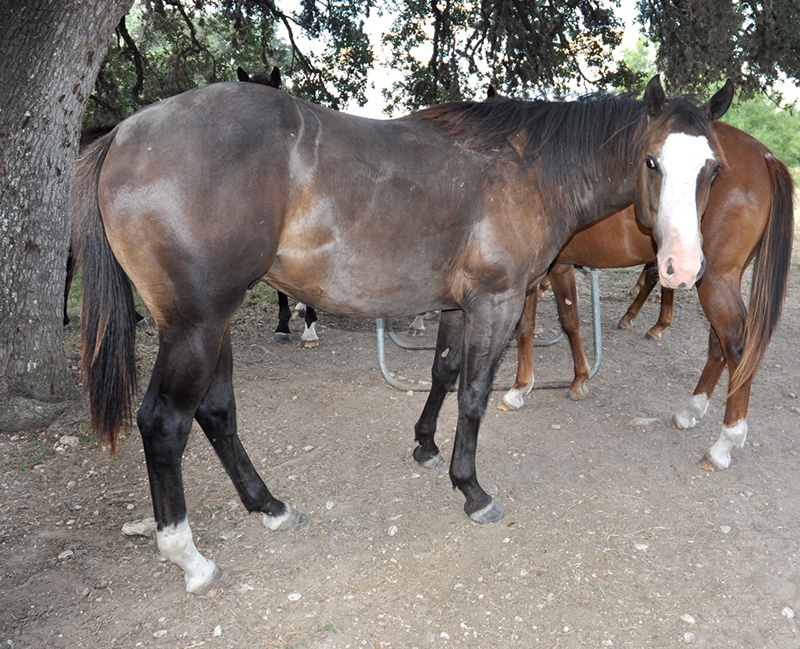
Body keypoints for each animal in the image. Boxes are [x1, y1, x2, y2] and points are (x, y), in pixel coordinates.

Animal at [73, 76, 732, 592]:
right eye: (652, 161)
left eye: (713, 168)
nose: (681, 267)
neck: (527, 169)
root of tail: (125, 134)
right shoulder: (497, 302)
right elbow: (474, 394)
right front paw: (471, 490)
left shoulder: (459, 306)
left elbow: (443, 372)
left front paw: (425, 445)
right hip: (196, 324)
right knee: (165, 423)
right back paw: (190, 558)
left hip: (215, 324)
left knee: (216, 411)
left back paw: (270, 506)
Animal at [504, 120, 792, 470]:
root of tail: (765, 155)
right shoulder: (554, 266)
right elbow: (558, 321)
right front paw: (572, 381)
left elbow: (537, 325)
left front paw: (521, 388)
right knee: (718, 344)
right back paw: (689, 411)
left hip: (714, 279)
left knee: (736, 343)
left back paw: (724, 443)